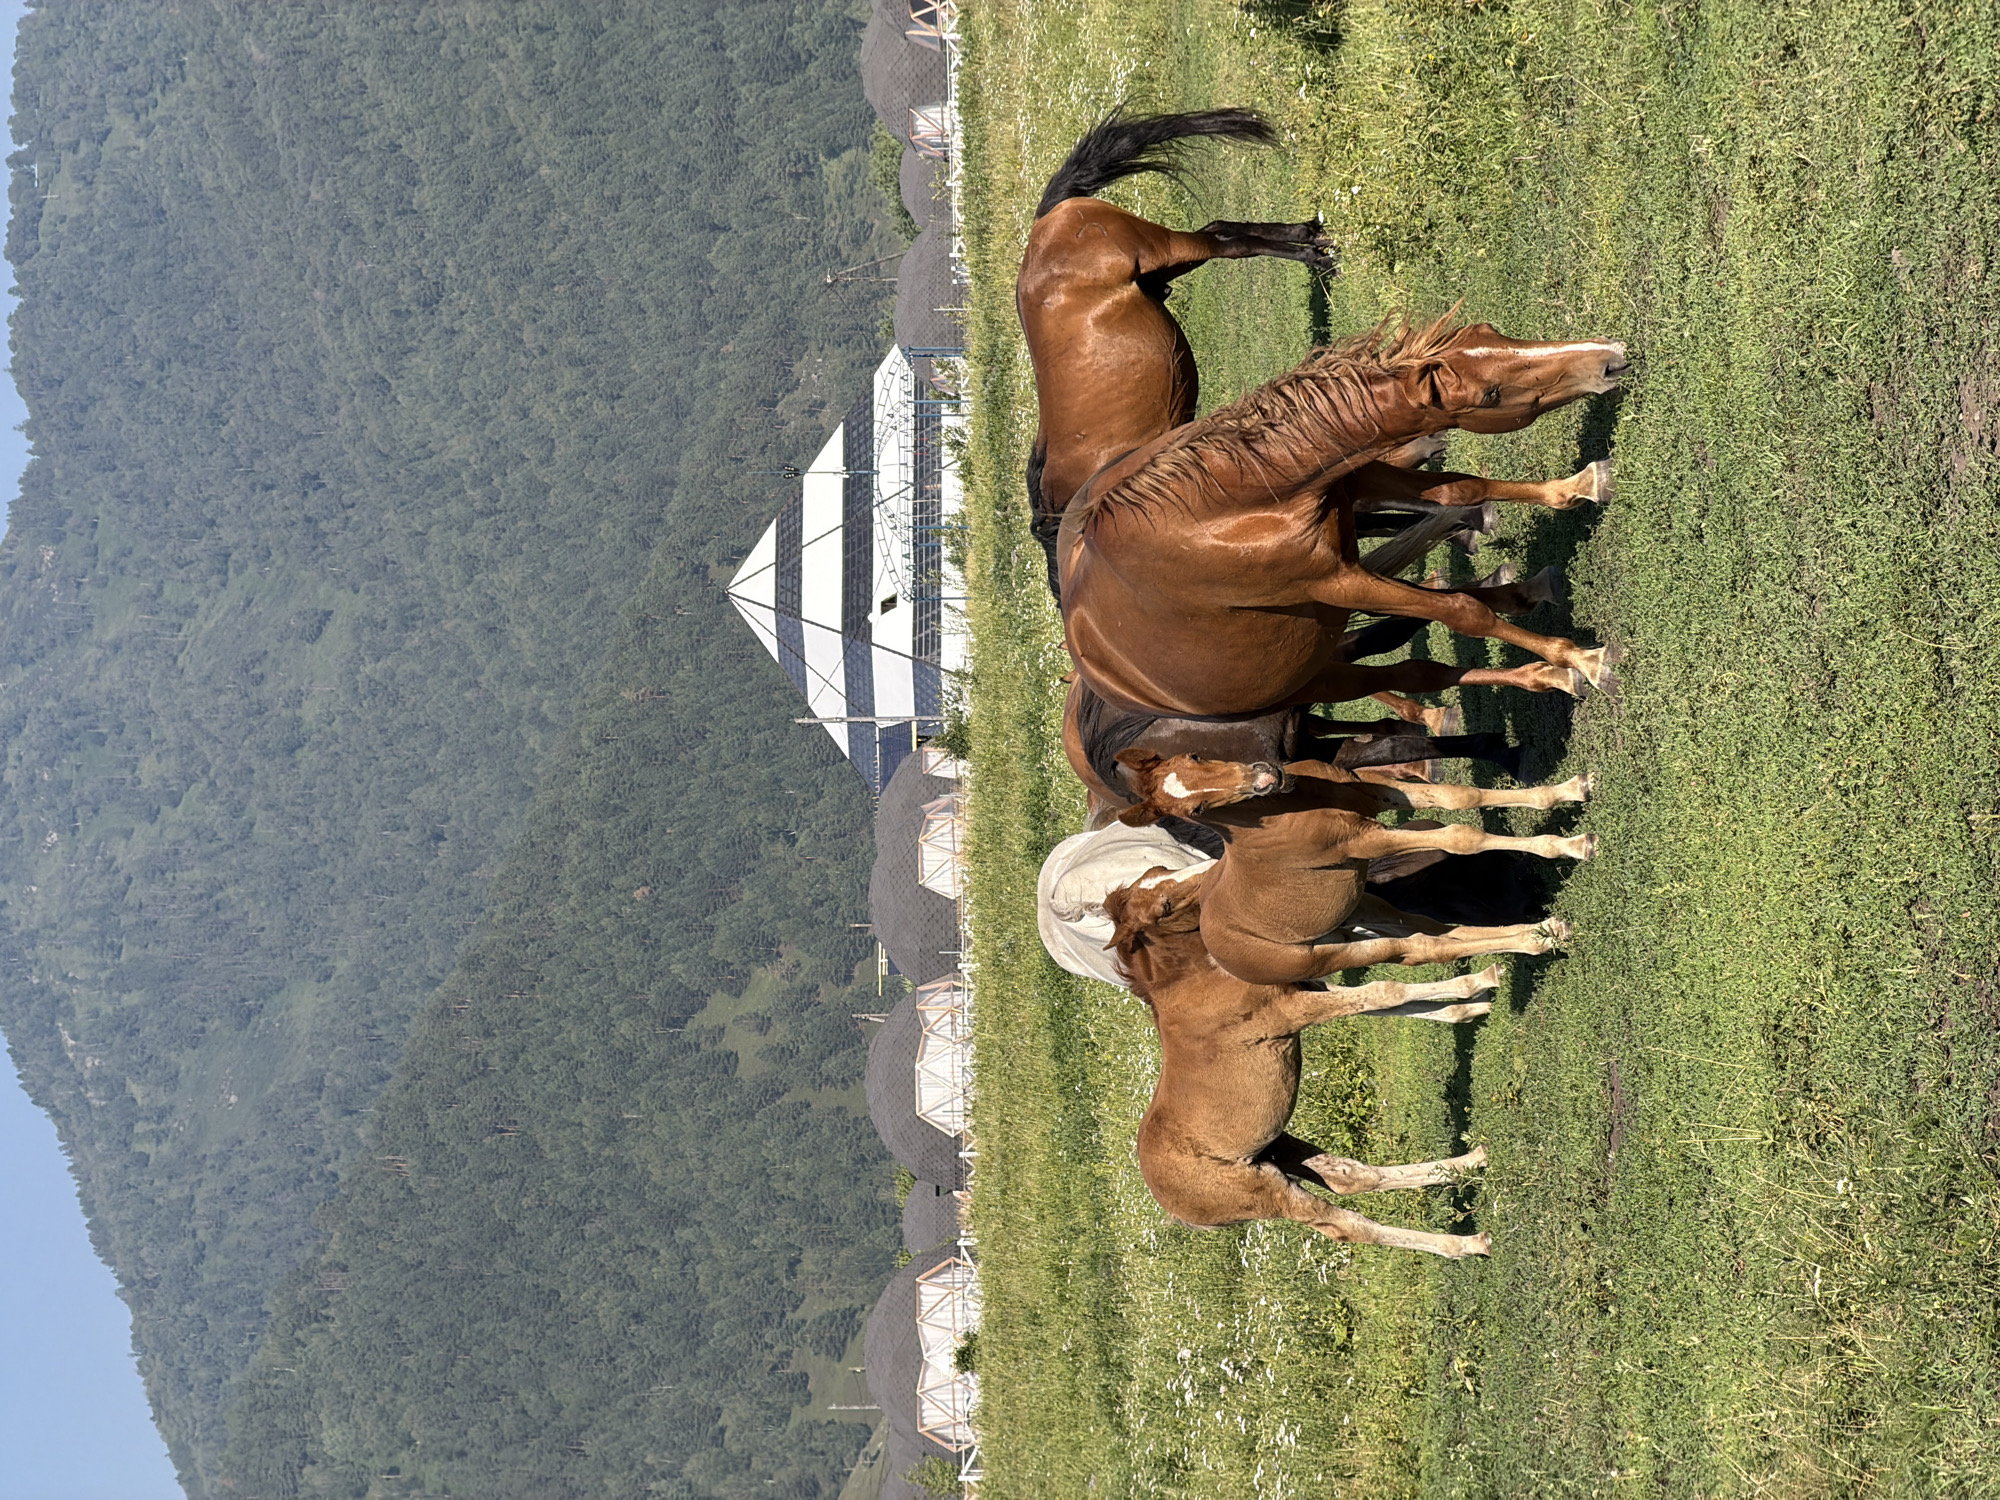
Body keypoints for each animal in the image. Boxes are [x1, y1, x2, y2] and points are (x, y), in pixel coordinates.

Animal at [1058, 314, 1627, 718]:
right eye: (1490, 394)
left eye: (1491, 332)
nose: (1610, 357)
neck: (1223, 513)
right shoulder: (1338, 583)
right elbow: (1463, 613)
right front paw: (1581, 659)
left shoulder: (1358, 481)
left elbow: (1462, 488)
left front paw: (1578, 486)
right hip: (1321, 677)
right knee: (1415, 673)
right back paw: (1544, 671)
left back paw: (1528, 607)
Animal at [1103, 868, 1494, 1258]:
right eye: (1165, 906)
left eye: (1161, 873)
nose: (1214, 876)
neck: (1194, 980)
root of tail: (1175, 1210)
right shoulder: (1292, 1010)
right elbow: (1386, 992)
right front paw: (1484, 981)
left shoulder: (1309, 986)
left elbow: (1397, 1004)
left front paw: (1473, 998)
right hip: (1268, 1190)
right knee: (1347, 1226)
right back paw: (1466, 1243)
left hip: (1277, 1147)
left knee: (1349, 1177)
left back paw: (1473, 1160)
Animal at [1113, 749, 1589, 986]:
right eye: (1195, 809)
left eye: (1193, 756)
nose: (1264, 775)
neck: (1286, 807)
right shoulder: (1362, 840)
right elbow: (1460, 836)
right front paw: (1572, 846)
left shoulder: (1372, 791)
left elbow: (1460, 797)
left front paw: (1569, 790)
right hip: (1328, 956)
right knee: (1420, 948)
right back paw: (1537, 940)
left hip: (1361, 906)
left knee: (1438, 930)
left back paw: (1542, 931)